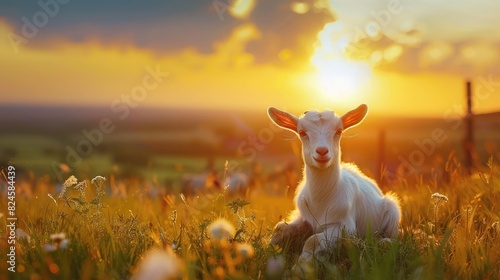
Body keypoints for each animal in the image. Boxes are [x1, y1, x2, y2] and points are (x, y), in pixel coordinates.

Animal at [268, 105, 400, 270]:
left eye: (339, 131)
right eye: (302, 132)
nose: (322, 151)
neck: (321, 199)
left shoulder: (345, 227)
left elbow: (312, 240)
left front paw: (300, 267)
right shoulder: (303, 217)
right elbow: (279, 228)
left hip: (392, 211)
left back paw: (384, 242)